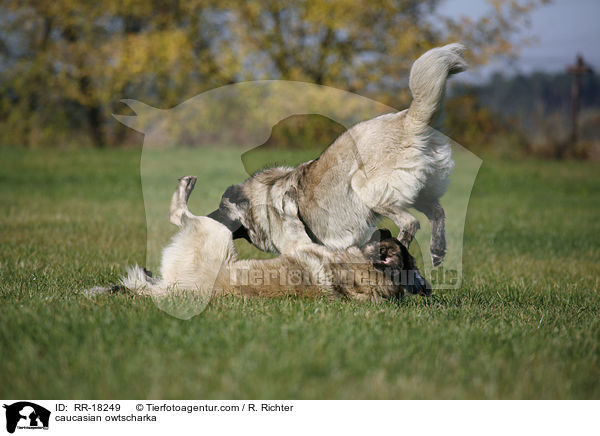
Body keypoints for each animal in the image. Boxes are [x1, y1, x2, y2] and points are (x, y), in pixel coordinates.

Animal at [118, 175, 432, 302]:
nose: (387, 230)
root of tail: (173, 289)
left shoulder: (299, 243)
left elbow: (293, 222)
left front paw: (289, 200)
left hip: (214, 234)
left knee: (178, 215)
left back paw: (187, 187)